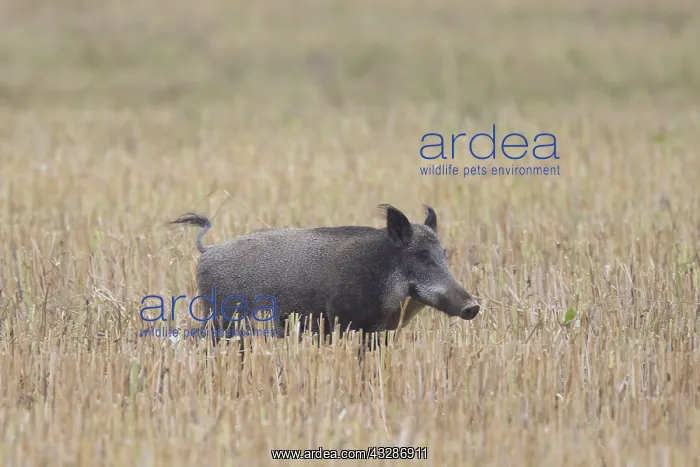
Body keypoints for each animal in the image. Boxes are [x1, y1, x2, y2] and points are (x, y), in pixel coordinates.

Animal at [170, 204, 480, 347]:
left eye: (443, 253)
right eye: (422, 255)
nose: (473, 306)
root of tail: (207, 250)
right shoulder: (346, 323)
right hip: (221, 319)